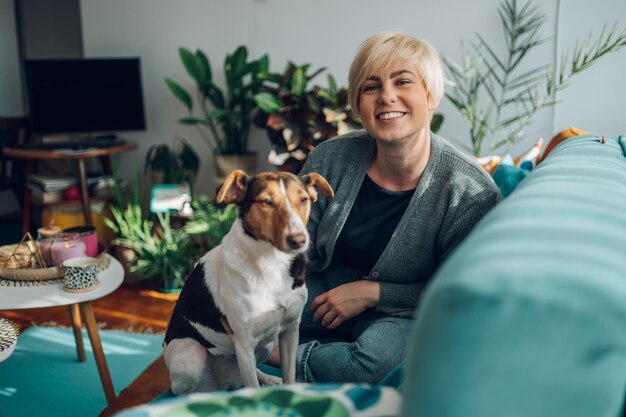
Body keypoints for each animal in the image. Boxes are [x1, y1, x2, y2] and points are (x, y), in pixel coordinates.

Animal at [163, 169, 334, 394]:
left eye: (303, 199)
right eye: (266, 202)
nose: (299, 240)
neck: (271, 263)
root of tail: (223, 385)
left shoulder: (290, 331)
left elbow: (289, 377)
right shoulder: (244, 344)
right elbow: (253, 387)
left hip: (264, 348)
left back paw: (268, 378)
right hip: (192, 356)